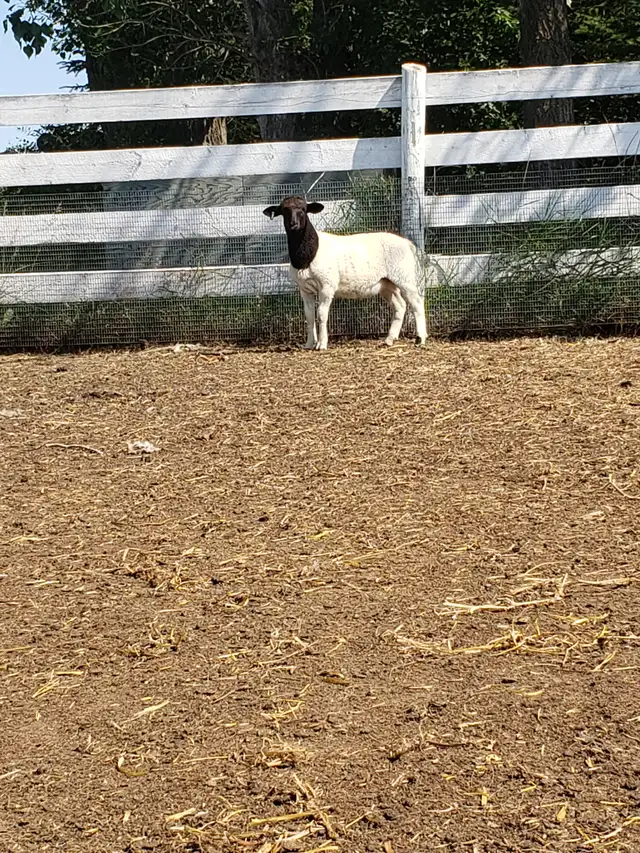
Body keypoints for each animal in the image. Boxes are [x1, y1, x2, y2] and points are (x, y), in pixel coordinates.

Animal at [263, 196, 427, 351]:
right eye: (284, 210)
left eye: (303, 210)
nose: (293, 225)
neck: (307, 254)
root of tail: (407, 243)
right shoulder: (304, 288)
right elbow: (309, 316)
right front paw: (309, 344)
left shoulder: (327, 285)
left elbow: (321, 314)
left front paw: (321, 344)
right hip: (386, 283)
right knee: (400, 306)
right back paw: (389, 339)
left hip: (404, 277)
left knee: (417, 303)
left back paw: (420, 338)